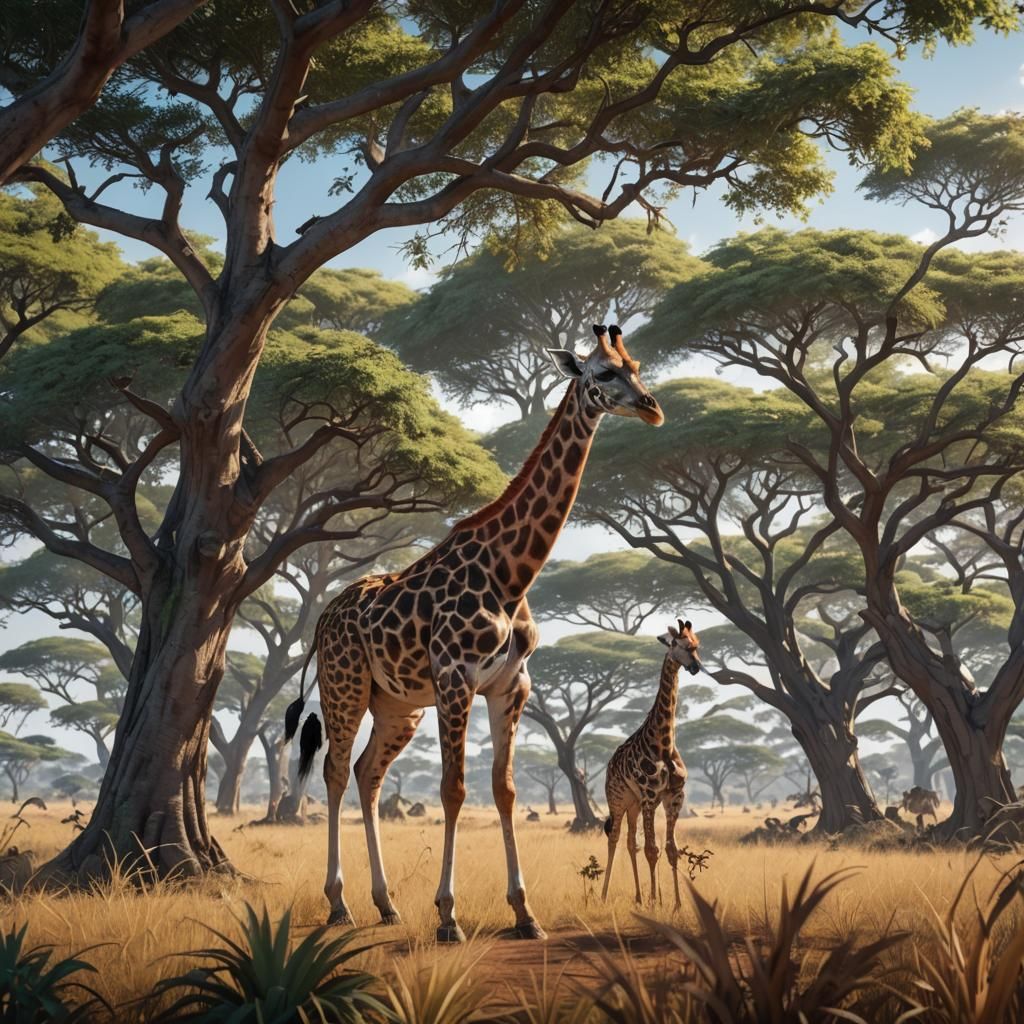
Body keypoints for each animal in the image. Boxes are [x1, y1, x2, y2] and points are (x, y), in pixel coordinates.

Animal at [284, 323, 663, 942]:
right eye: (603, 373)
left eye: (635, 366)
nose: (652, 408)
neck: (511, 574)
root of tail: (323, 617)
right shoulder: (455, 678)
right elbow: (453, 789)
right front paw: (448, 916)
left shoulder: (511, 687)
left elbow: (503, 790)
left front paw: (525, 913)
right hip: (346, 688)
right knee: (337, 772)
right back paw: (340, 905)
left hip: (398, 706)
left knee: (367, 774)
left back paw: (386, 904)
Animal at [601, 620, 701, 910]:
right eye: (677, 644)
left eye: (696, 644)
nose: (695, 666)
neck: (664, 744)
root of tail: (609, 766)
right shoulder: (649, 795)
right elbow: (651, 849)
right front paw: (655, 901)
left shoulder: (672, 796)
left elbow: (671, 850)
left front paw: (675, 904)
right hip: (619, 799)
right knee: (614, 839)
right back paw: (603, 895)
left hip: (635, 804)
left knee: (629, 842)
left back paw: (637, 896)